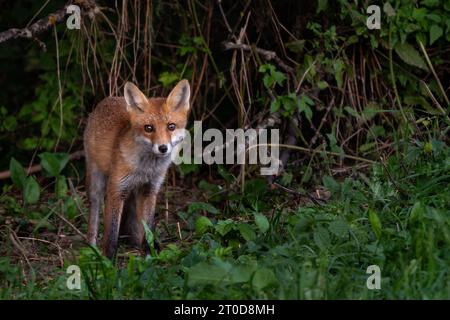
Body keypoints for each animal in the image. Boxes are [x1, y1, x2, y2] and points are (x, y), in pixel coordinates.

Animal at [84, 79, 190, 258]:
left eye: (171, 126)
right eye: (149, 128)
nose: (163, 148)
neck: (145, 169)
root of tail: (107, 99)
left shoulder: (150, 189)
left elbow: (147, 226)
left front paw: (149, 253)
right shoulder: (116, 188)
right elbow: (111, 232)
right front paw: (107, 259)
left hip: (134, 193)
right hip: (96, 182)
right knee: (94, 213)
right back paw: (91, 246)